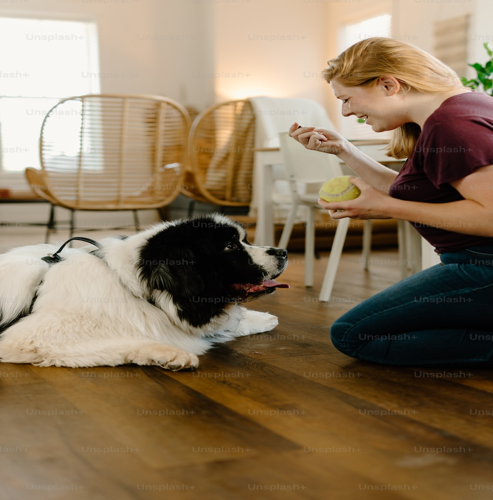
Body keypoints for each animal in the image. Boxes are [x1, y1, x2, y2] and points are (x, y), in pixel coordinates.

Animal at [0, 215, 288, 372]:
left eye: (245, 241)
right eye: (230, 246)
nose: (283, 252)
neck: (136, 289)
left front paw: (260, 318)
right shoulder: (30, 339)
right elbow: (124, 341)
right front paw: (171, 354)